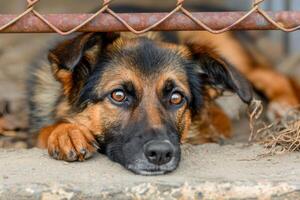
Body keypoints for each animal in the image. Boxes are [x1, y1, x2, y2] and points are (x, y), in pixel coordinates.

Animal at [27, 30, 298, 176]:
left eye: (176, 98)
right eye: (118, 95)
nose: (160, 154)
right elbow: (46, 129)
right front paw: (66, 132)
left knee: (271, 75)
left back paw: (287, 108)